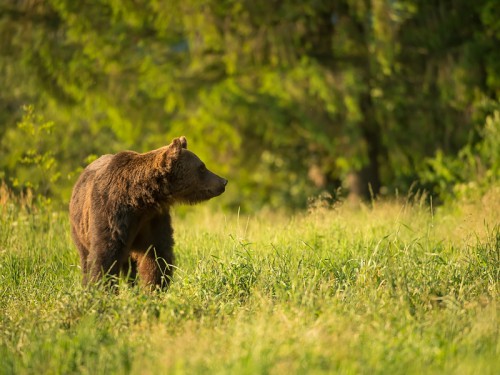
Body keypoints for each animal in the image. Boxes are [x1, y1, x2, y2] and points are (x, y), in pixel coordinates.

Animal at [69, 137, 229, 290]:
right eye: (201, 167)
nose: (223, 181)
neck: (139, 200)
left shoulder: (153, 219)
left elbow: (156, 254)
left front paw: (155, 287)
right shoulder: (112, 212)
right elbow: (105, 254)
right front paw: (101, 287)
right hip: (79, 228)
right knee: (86, 257)